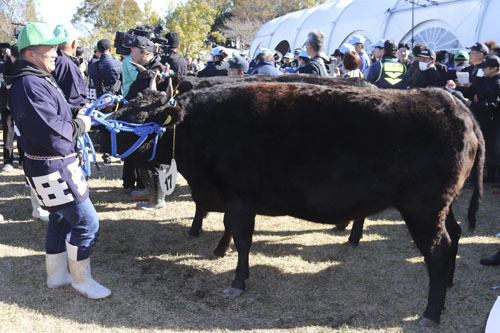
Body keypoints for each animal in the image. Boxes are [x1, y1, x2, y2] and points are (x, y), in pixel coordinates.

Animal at [93, 81, 480, 326]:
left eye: (138, 119)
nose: (96, 133)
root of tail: (450, 102)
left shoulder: (240, 198)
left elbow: (243, 238)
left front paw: (237, 281)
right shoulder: (232, 198)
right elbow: (229, 229)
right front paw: (220, 250)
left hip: (423, 208)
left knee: (438, 250)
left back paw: (431, 313)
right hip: (443, 206)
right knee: (456, 234)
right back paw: (447, 286)